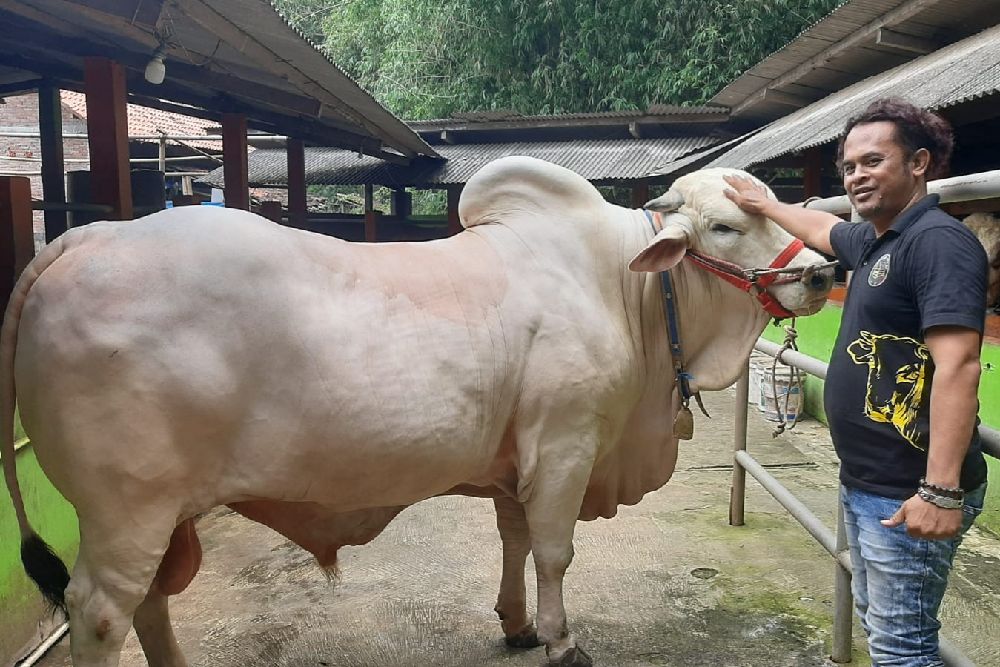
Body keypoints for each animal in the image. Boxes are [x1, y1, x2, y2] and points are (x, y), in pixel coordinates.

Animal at [3, 155, 832, 664]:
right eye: (724, 225)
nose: (823, 271)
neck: (620, 285)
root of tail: (84, 236)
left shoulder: (517, 460)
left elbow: (515, 539)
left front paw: (517, 624)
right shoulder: (565, 445)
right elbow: (555, 551)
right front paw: (562, 639)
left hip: (156, 516)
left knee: (148, 604)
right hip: (126, 509)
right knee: (101, 612)